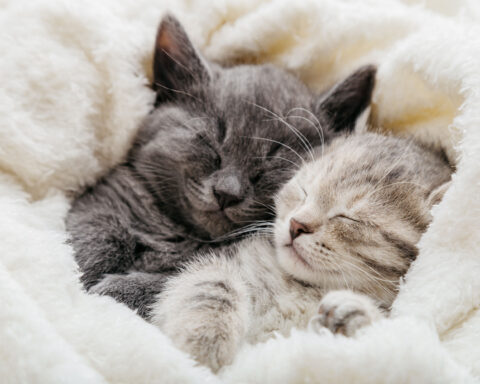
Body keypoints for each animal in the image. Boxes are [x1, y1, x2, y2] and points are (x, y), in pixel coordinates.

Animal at [63, 13, 376, 316]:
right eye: (210, 141)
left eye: (274, 158)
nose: (227, 192)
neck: (183, 237)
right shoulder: (110, 194)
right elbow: (91, 231)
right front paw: (85, 274)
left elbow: (177, 283)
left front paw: (110, 292)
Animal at [152, 130, 452, 370]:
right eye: (304, 190)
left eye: (350, 218)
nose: (296, 224)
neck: (303, 287)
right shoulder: (229, 258)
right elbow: (213, 283)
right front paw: (204, 338)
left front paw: (355, 316)